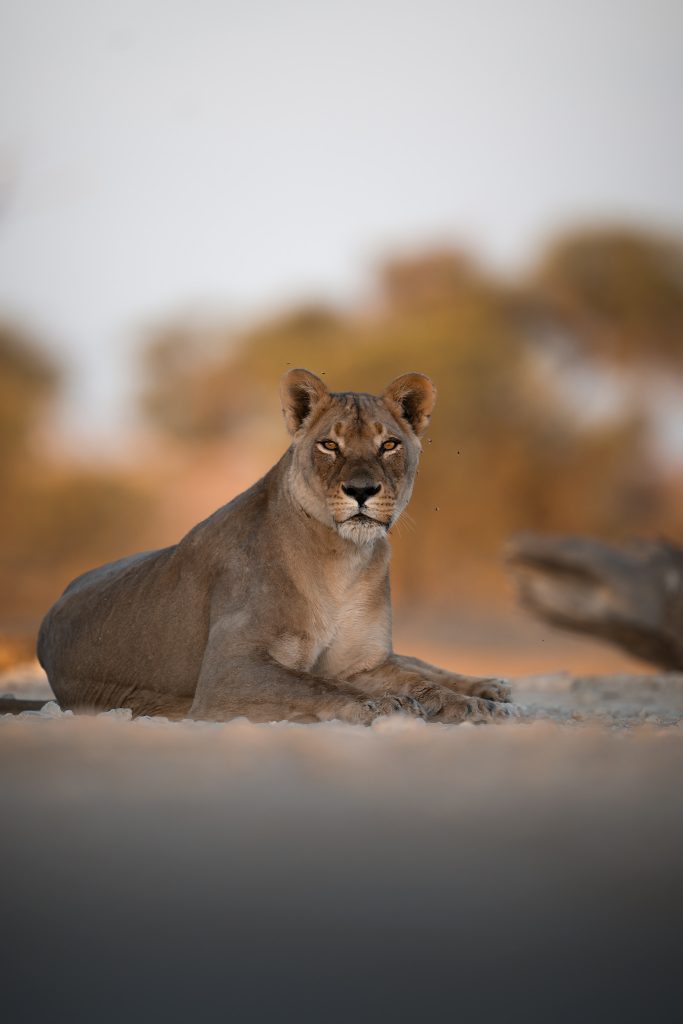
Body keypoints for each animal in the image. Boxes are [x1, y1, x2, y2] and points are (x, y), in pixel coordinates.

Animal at [37, 369, 514, 724]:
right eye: (329, 444)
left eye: (390, 444)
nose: (362, 491)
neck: (345, 561)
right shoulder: (227, 673)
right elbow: (317, 684)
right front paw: (382, 705)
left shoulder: (361, 663)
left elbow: (419, 681)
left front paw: (472, 704)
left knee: (416, 661)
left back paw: (491, 686)